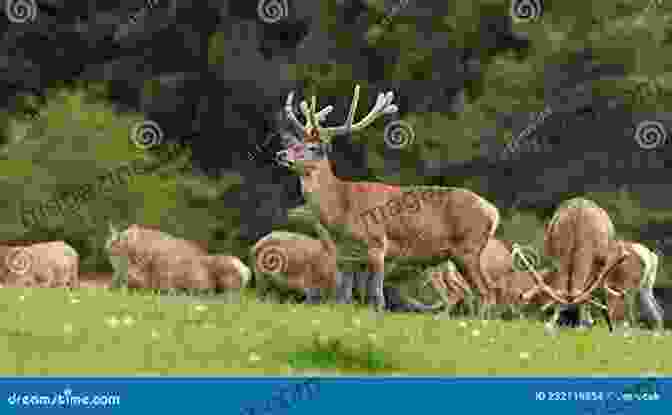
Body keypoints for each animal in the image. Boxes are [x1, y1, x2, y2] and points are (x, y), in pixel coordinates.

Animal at [276, 84, 502, 312]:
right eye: (295, 143)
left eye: (313, 148)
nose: (281, 154)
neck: (342, 207)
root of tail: (493, 212)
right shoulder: (345, 256)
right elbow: (344, 298)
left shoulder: (377, 243)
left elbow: (377, 295)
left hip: (467, 249)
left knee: (486, 292)